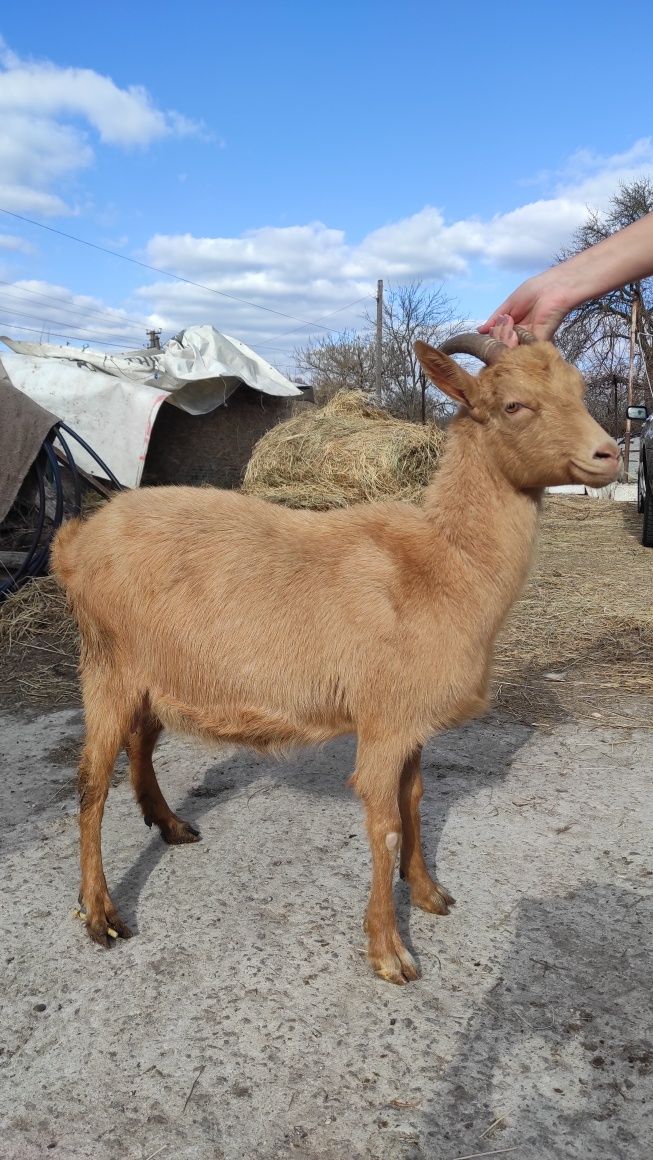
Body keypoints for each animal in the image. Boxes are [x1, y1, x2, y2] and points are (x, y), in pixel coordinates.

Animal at [51, 331, 617, 983]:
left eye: (578, 389)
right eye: (513, 406)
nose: (609, 455)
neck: (443, 563)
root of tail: (77, 540)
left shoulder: (408, 719)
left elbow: (414, 801)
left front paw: (428, 892)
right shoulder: (385, 721)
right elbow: (386, 824)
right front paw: (389, 951)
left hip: (157, 672)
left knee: (141, 741)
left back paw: (169, 825)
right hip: (106, 665)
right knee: (92, 782)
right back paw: (100, 913)